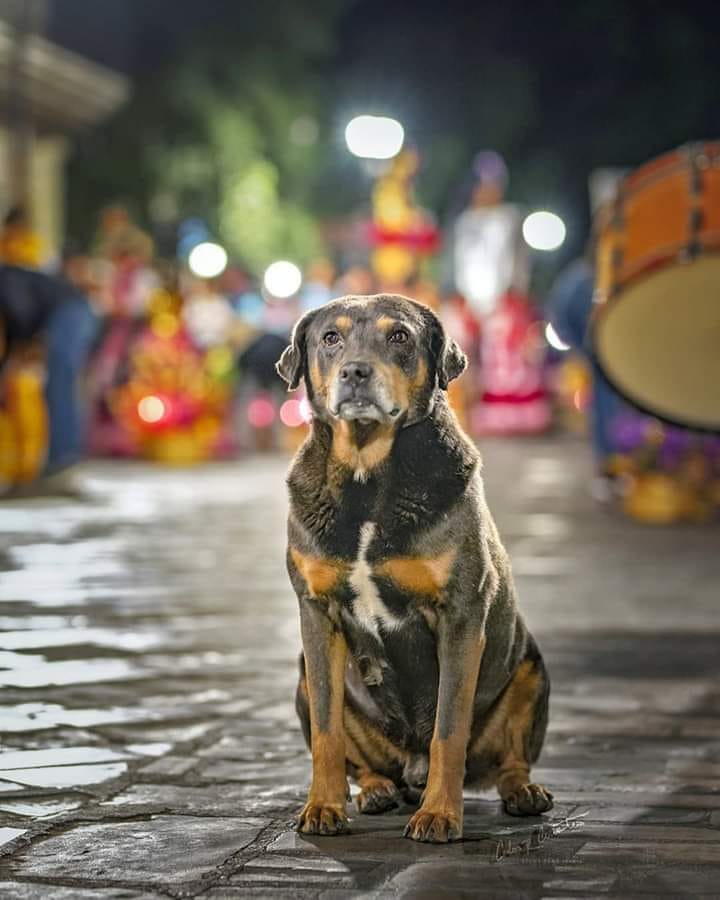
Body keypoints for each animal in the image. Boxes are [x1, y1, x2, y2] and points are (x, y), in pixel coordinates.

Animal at [276, 294, 552, 844]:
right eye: (330, 338)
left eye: (399, 336)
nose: (355, 372)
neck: (366, 477)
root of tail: (409, 771)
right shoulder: (316, 614)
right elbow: (327, 728)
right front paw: (323, 806)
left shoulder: (460, 617)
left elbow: (449, 726)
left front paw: (440, 815)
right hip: (301, 679)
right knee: (363, 760)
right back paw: (375, 790)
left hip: (532, 669)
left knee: (511, 761)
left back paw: (522, 793)